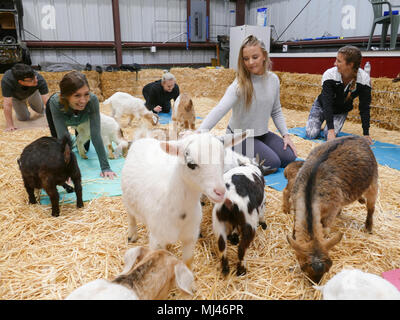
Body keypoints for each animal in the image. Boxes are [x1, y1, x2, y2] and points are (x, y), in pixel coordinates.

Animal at [121, 131, 247, 266]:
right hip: (127, 198)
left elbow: (187, 263)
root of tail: (144, 138)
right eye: (191, 164)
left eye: (223, 159)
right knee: (131, 215)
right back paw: (132, 235)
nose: (220, 192)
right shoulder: (156, 240)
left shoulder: (190, 238)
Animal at [288, 135, 378, 282]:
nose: (316, 283)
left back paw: (368, 225)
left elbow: (325, 229)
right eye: (303, 266)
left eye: (328, 268)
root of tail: (359, 138)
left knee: (371, 206)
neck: (310, 188)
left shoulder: (330, 212)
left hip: (373, 180)